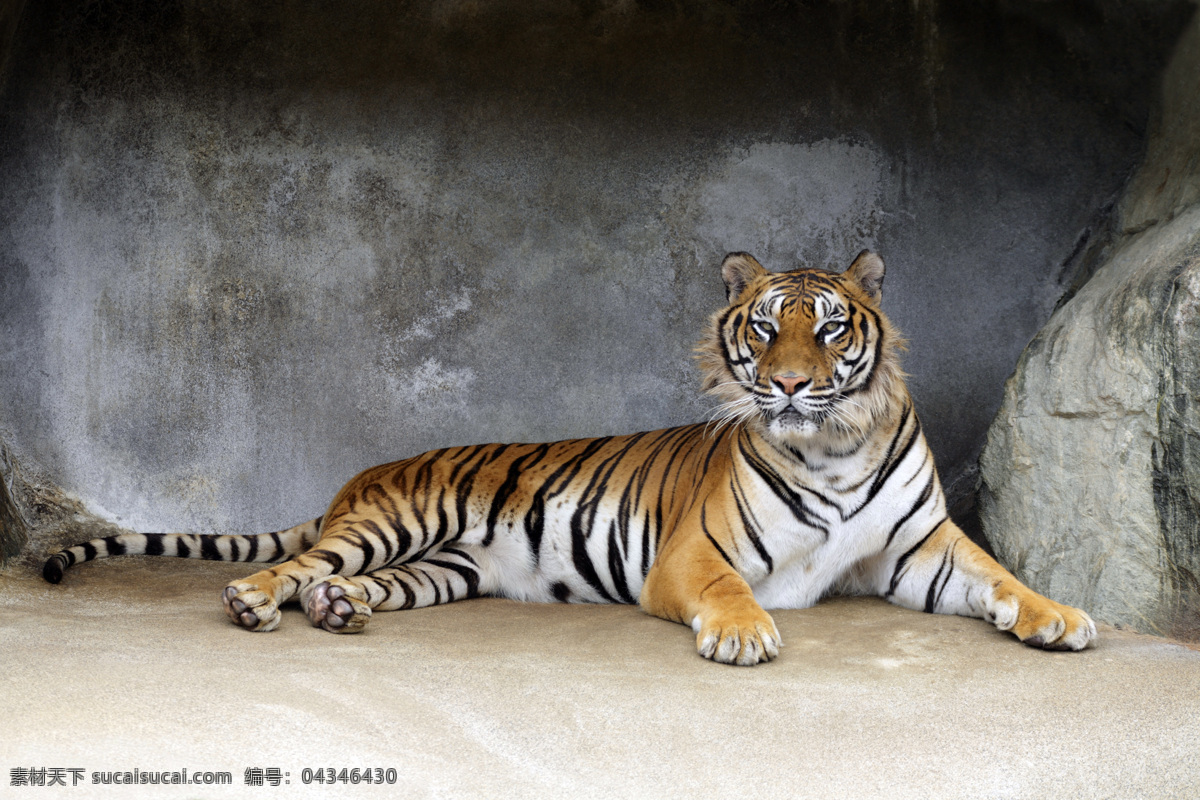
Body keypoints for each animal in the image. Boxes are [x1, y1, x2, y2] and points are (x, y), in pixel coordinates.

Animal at [44, 250, 1099, 662]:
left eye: (832, 328)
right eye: (765, 329)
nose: (793, 384)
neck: (831, 447)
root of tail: (361, 475)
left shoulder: (918, 552)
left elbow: (1000, 577)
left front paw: (1059, 618)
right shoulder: (694, 555)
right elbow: (731, 591)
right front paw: (745, 634)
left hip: (443, 567)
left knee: (350, 585)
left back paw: (340, 611)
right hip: (392, 525)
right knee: (293, 564)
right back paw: (257, 602)